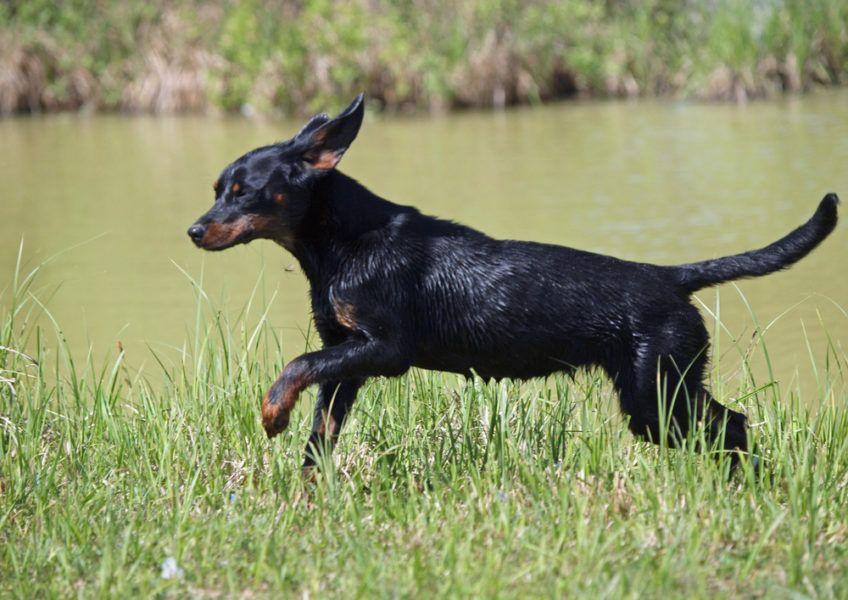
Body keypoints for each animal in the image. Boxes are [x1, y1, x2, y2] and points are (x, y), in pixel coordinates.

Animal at [189, 95, 840, 468]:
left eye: (244, 191)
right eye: (217, 188)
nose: (194, 230)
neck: (344, 243)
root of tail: (669, 276)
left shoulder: (384, 349)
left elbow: (295, 367)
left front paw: (271, 414)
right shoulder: (345, 357)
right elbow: (318, 440)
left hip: (657, 394)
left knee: (733, 427)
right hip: (661, 395)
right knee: (733, 426)